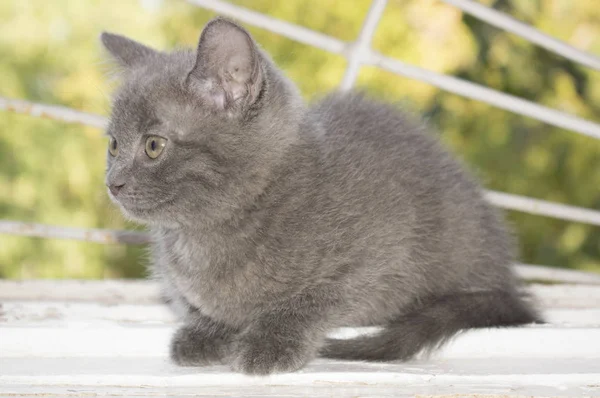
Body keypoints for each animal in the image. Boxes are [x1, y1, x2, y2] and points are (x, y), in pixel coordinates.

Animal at [101, 17, 540, 374]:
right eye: (114, 145)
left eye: (153, 146)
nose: (112, 182)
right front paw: (208, 330)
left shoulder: (381, 253)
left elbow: (317, 299)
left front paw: (271, 341)